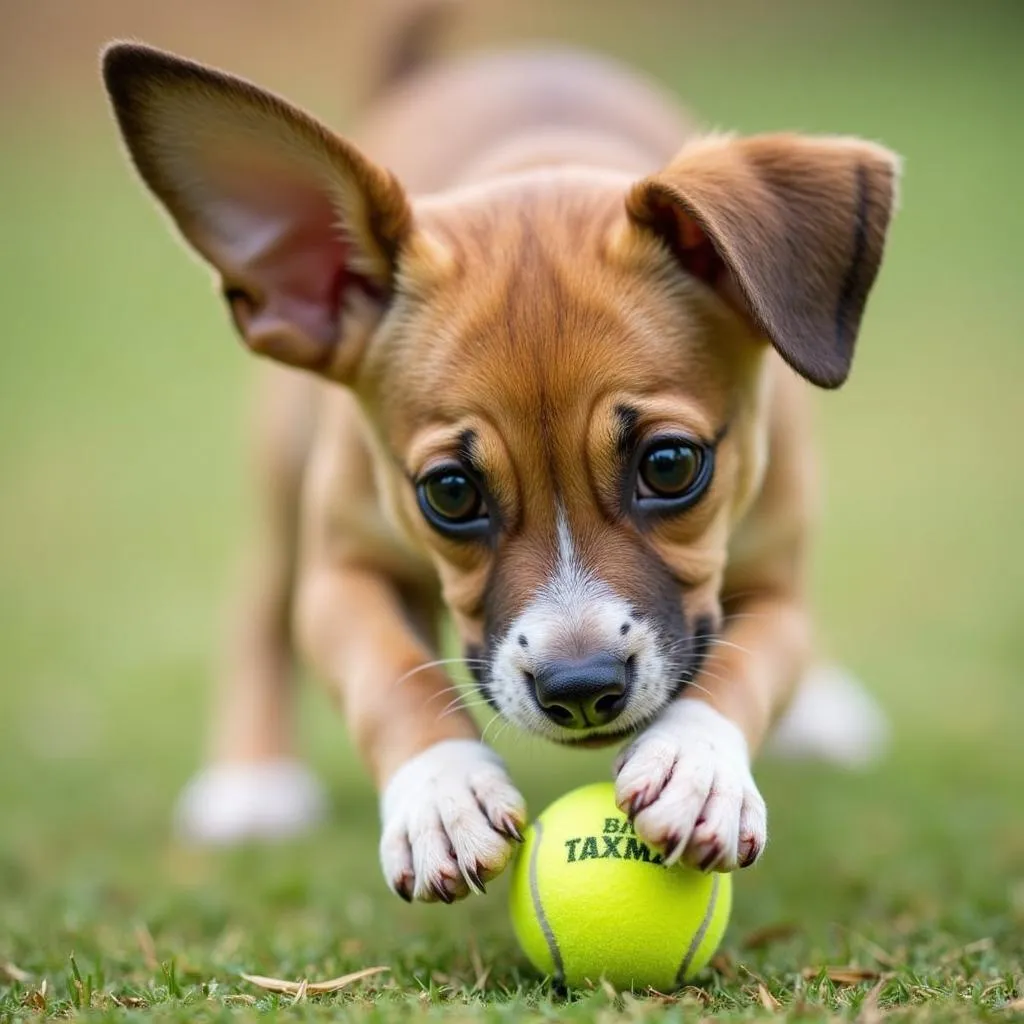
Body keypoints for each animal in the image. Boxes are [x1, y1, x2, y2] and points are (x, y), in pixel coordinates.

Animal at [101, 8, 897, 905]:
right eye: (449, 491)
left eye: (670, 466)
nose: (580, 689)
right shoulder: (341, 573)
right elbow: (390, 677)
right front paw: (442, 793)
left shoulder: (779, 585)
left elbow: (744, 667)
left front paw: (695, 763)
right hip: (285, 474)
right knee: (261, 597)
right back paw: (253, 778)